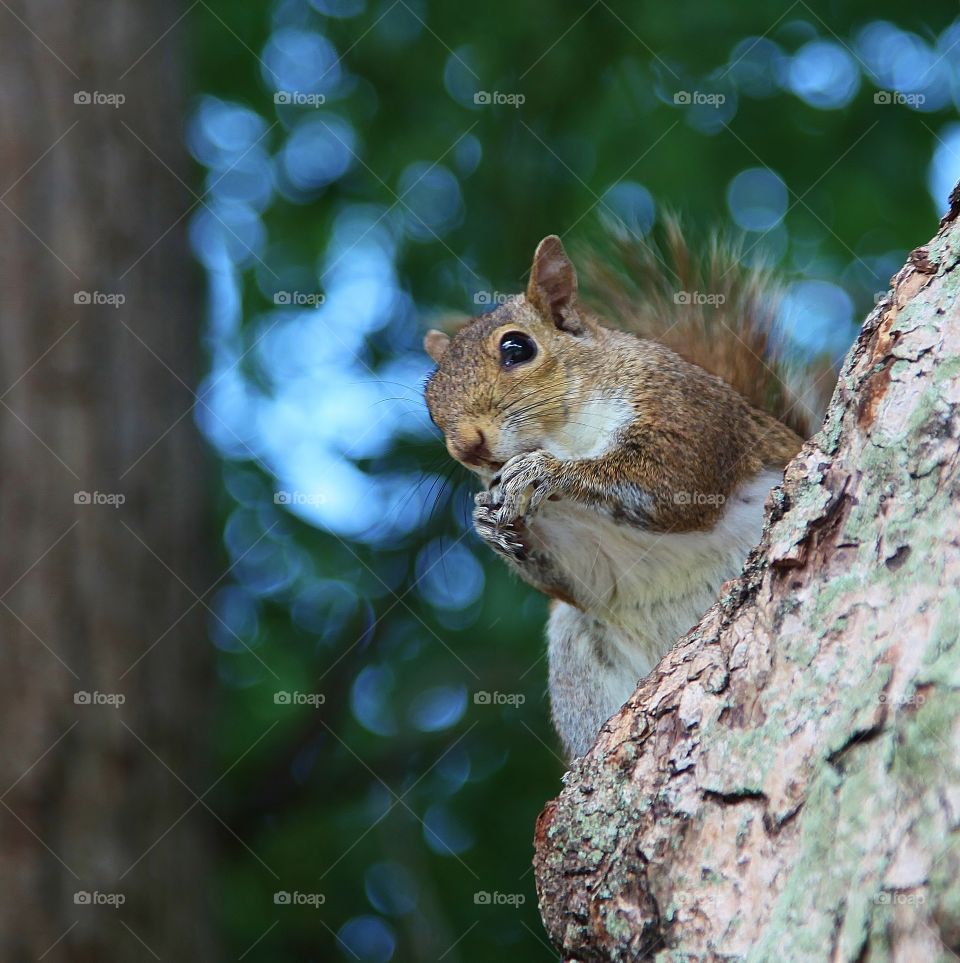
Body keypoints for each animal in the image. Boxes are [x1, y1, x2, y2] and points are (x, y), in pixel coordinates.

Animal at [424, 226, 828, 760]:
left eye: (517, 348)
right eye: (429, 400)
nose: (466, 446)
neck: (566, 433)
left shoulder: (684, 409)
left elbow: (673, 482)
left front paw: (545, 471)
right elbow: (578, 578)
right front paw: (487, 523)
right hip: (577, 656)